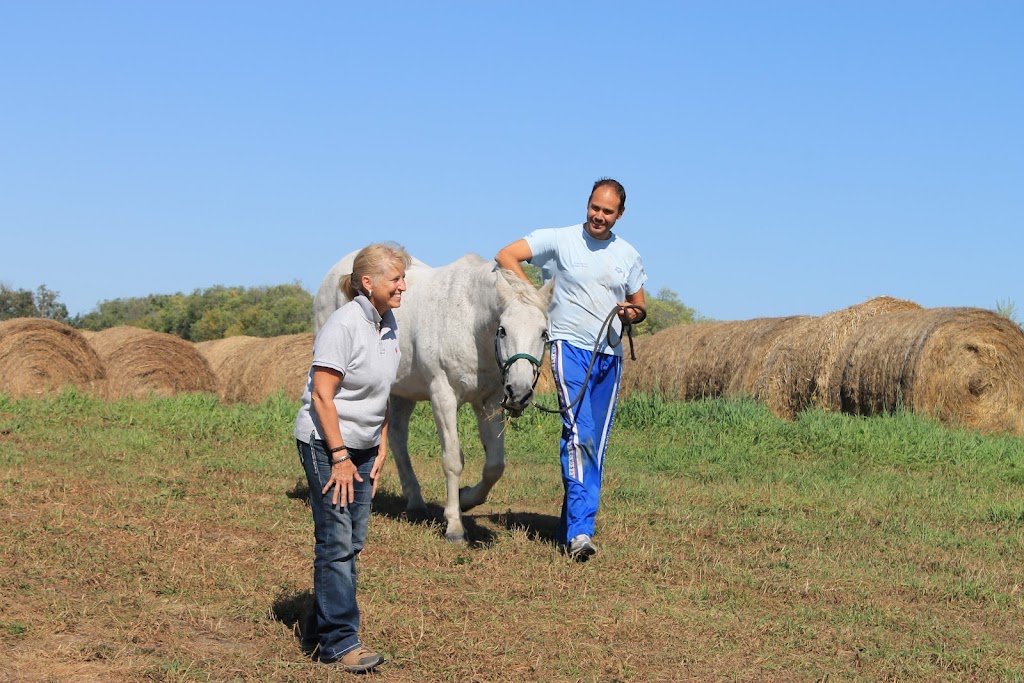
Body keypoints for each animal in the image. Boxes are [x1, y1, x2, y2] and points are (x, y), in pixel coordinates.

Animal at [311, 253, 552, 540]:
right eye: (503, 330)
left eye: (543, 333)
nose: (519, 392)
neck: (469, 321)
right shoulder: (443, 396)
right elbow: (453, 460)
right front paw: (455, 525)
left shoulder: (490, 401)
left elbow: (495, 465)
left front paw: (466, 499)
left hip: (402, 393)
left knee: (397, 439)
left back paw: (415, 502)